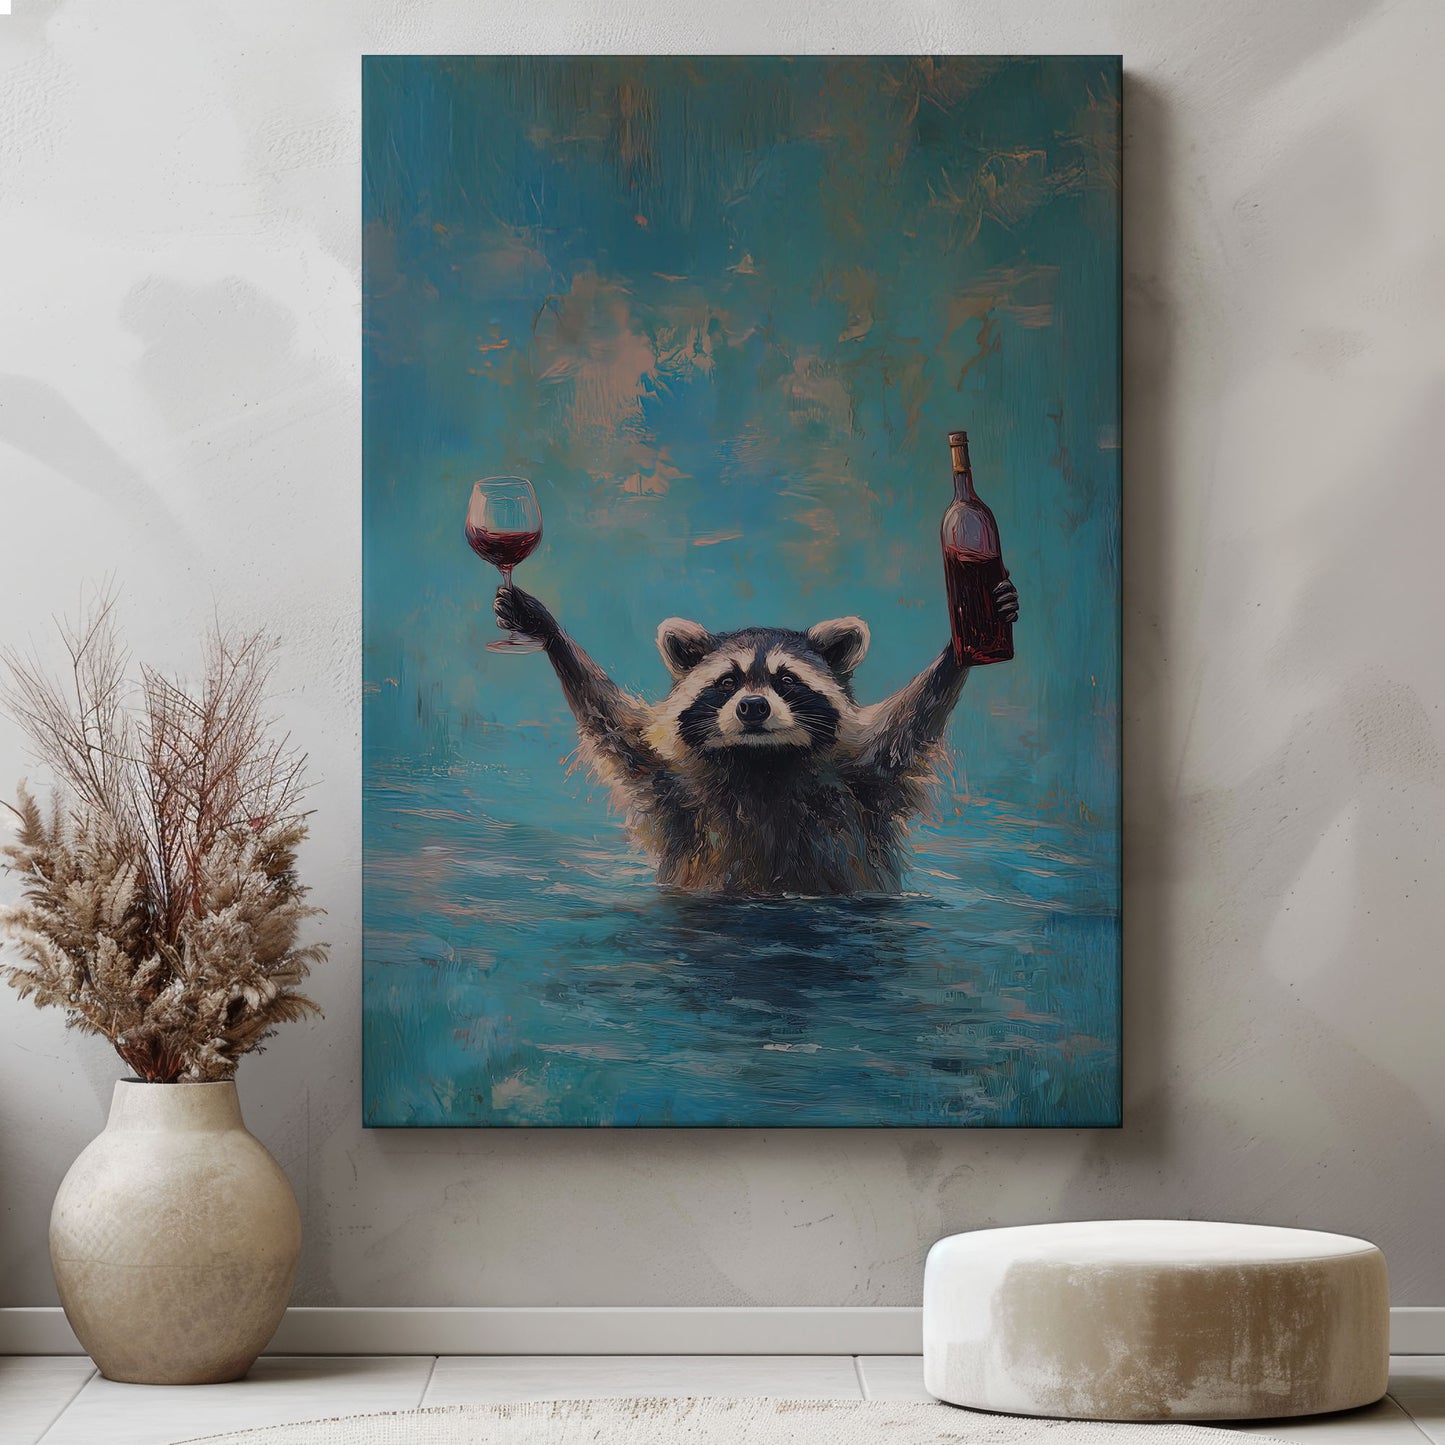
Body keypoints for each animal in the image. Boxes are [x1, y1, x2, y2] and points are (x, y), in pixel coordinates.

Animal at [493, 578, 1020, 896]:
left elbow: (914, 721)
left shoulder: (869, 779)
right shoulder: (669, 784)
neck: (762, 760)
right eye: (728, 682)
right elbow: (611, 722)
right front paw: (548, 631)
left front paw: (962, 644)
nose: (752, 707)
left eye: (787, 681)